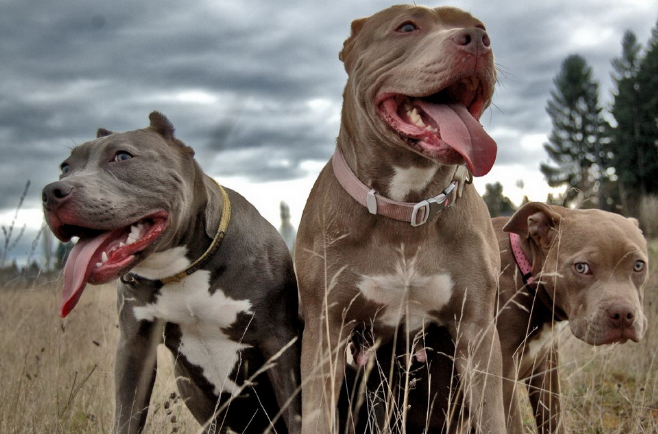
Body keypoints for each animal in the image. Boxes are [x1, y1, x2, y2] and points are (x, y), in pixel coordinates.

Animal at [39, 112, 300, 434]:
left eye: (122, 156)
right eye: (65, 167)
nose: (51, 193)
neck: (183, 270)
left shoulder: (280, 343)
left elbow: (299, 414)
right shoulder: (134, 348)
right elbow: (126, 417)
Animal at [294, 4, 504, 434]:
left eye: (480, 27)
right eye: (406, 26)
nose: (477, 40)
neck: (406, 209)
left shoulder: (478, 332)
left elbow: (495, 417)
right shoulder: (325, 331)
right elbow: (319, 414)